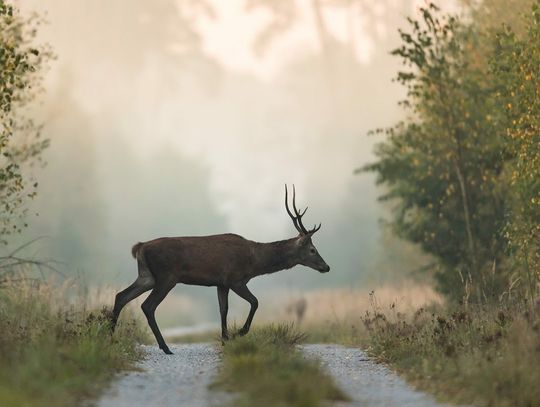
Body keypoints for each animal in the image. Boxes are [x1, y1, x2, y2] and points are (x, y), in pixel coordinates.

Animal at [109, 185, 330, 354]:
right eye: (312, 249)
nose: (326, 266)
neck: (255, 262)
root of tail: (140, 247)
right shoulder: (235, 279)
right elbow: (255, 302)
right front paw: (239, 332)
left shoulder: (220, 283)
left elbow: (223, 309)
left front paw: (225, 338)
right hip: (166, 276)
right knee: (147, 305)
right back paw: (165, 347)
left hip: (147, 276)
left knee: (121, 296)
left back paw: (110, 336)